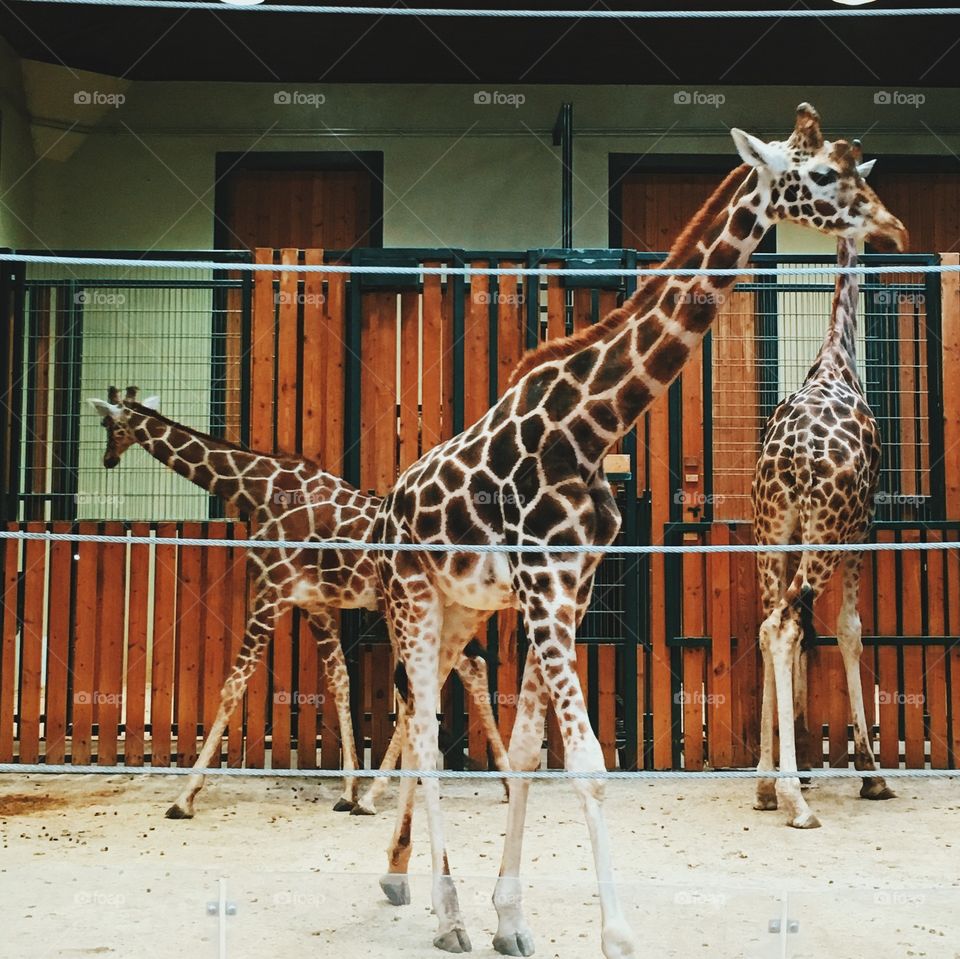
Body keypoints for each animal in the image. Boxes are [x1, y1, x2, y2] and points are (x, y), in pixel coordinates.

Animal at [87, 386, 510, 818]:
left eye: (108, 424)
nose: (107, 458)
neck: (258, 490)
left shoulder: (270, 592)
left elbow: (233, 685)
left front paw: (185, 796)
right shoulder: (313, 603)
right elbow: (339, 680)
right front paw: (348, 789)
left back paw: (382, 794)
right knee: (468, 669)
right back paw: (504, 782)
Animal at [369, 104, 906, 957]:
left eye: (860, 166)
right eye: (822, 172)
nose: (891, 223)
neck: (591, 427)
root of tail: (387, 512)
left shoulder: (569, 588)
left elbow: (531, 750)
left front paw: (511, 919)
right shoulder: (544, 586)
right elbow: (587, 762)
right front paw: (615, 932)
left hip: (459, 612)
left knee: (419, 718)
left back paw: (402, 879)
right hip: (414, 601)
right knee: (422, 727)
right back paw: (443, 911)